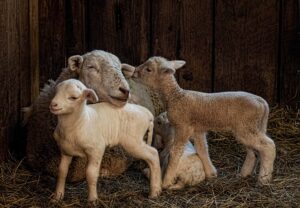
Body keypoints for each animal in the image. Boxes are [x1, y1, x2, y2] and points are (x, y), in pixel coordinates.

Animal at [132, 56, 276, 188]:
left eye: (149, 69)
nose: (134, 74)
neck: (175, 97)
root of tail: (262, 102)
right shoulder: (198, 130)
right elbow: (202, 150)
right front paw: (211, 174)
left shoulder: (183, 127)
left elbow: (175, 153)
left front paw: (166, 181)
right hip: (251, 128)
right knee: (253, 152)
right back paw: (244, 173)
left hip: (246, 127)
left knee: (268, 146)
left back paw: (264, 179)